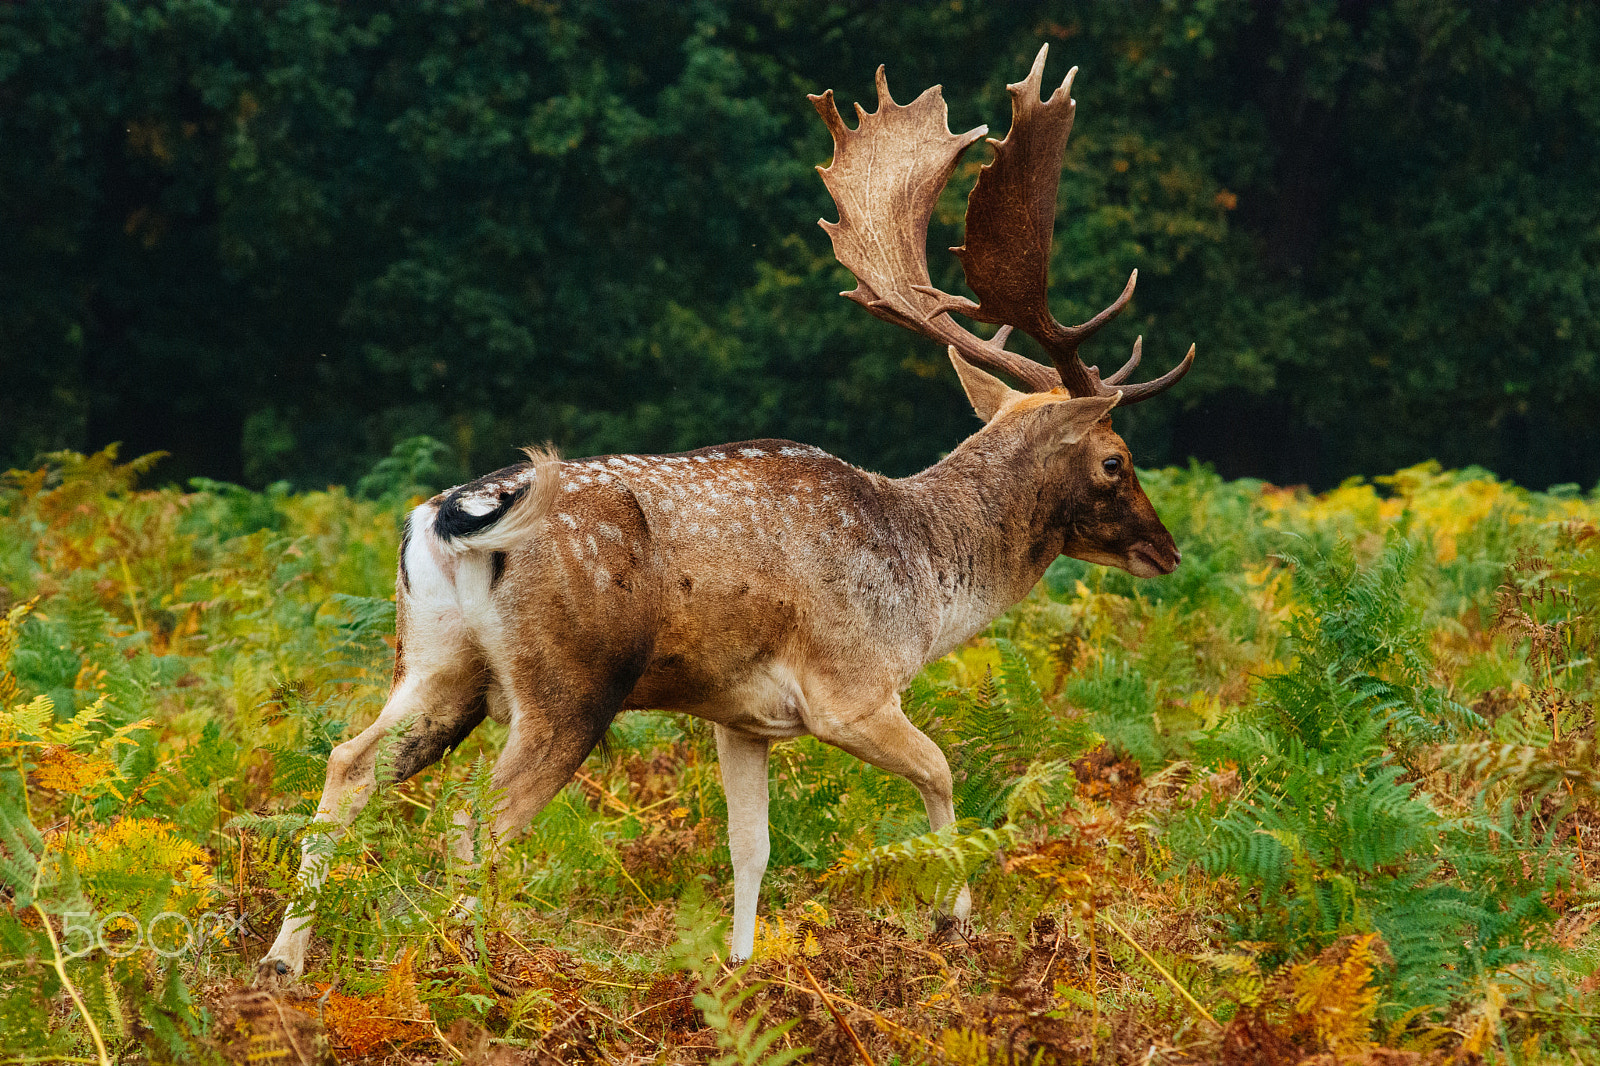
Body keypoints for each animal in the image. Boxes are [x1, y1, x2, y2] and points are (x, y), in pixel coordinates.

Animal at [256, 47, 1190, 979]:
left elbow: (751, 847)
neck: (925, 583)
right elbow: (941, 771)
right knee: (471, 818)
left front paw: (740, 971)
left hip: (438, 663)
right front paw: (950, 922)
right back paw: (468, 963)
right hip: (567, 686)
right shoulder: (850, 688)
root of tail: (449, 519)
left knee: (349, 763)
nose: (1167, 551)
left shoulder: (741, 718)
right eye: (1116, 459)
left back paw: (284, 961)